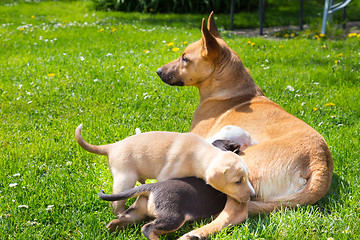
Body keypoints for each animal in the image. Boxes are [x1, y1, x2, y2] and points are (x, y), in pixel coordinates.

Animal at [75, 124, 256, 215]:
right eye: (238, 181)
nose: (254, 196)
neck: (203, 152)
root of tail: (112, 147)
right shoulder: (166, 175)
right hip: (125, 178)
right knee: (117, 203)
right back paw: (121, 213)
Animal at [156, 11, 334, 240]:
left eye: (185, 58)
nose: (159, 71)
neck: (234, 90)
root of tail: (319, 161)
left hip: (239, 172)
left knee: (236, 212)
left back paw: (196, 233)